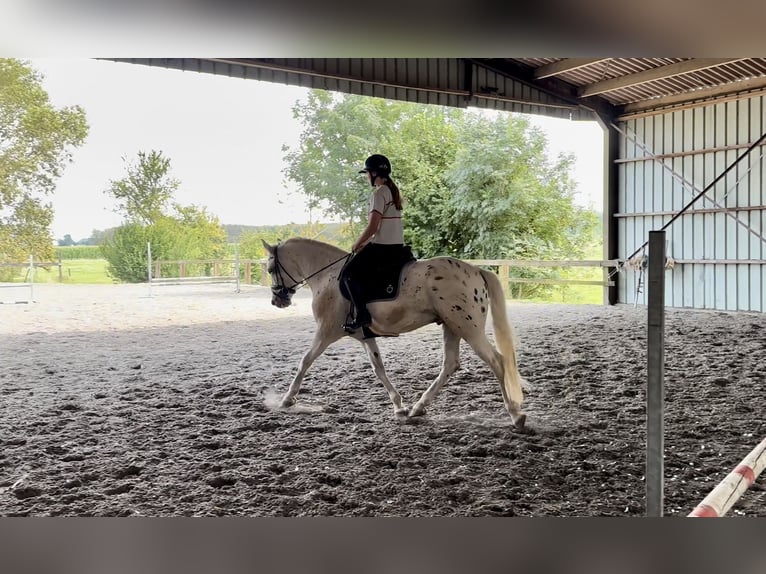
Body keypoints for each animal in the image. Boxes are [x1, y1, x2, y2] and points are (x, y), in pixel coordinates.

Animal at [264, 236, 528, 430]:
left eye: (269, 268)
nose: (278, 301)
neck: (327, 277)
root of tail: (476, 270)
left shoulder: (326, 332)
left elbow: (305, 361)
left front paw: (287, 399)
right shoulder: (365, 336)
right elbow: (378, 368)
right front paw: (399, 406)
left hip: (467, 327)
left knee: (497, 361)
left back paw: (515, 414)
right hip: (452, 326)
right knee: (451, 364)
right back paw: (418, 408)